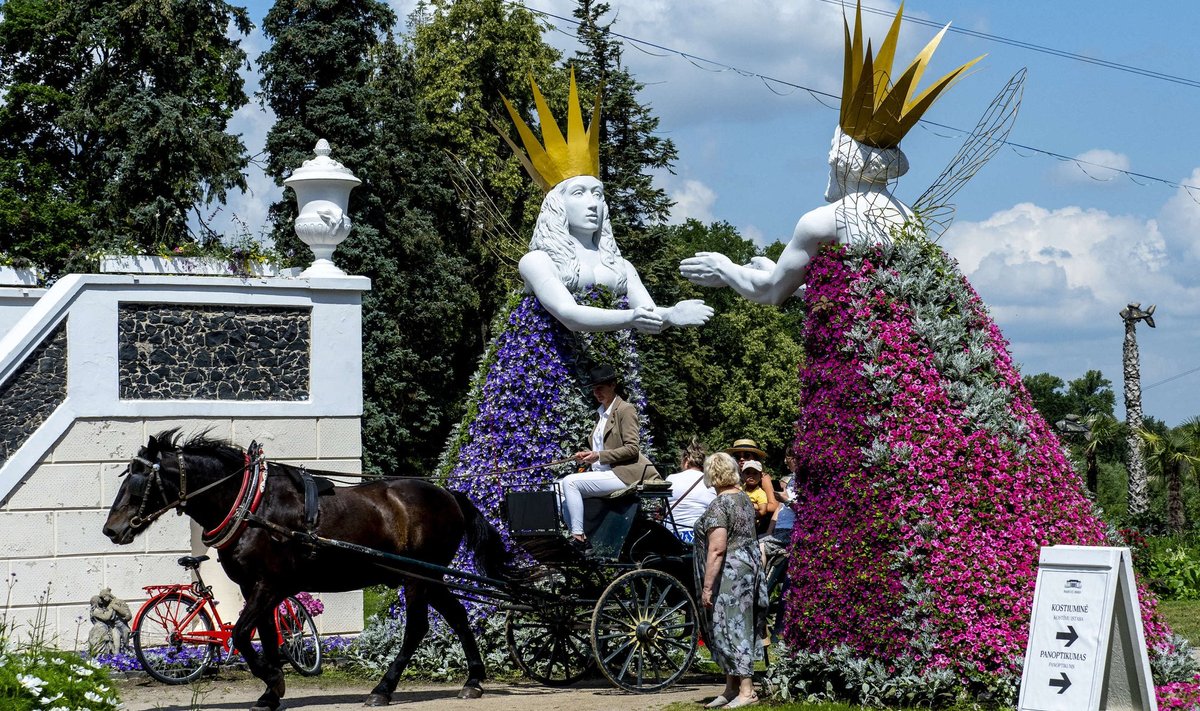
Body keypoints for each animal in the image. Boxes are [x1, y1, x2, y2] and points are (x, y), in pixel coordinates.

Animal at [103, 427, 511, 711]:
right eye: (125, 475)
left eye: (139, 481)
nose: (112, 529)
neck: (253, 506)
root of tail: (448, 494)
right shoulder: (255, 588)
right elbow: (266, 637)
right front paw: (271, 691)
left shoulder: (268, 584)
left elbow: (242, 636)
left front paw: (273, 679)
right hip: (432, 576)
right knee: (457, 616)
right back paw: (473, 680)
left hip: (415, 578)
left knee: (417, 629)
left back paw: (383, 688)